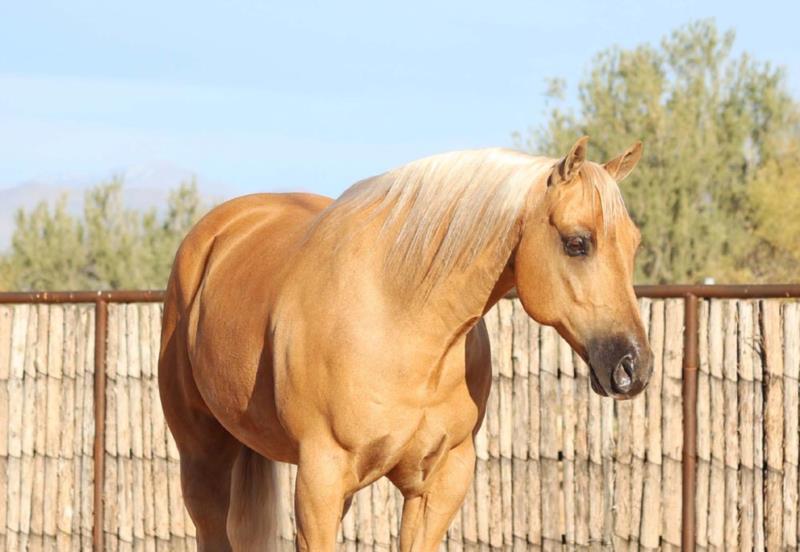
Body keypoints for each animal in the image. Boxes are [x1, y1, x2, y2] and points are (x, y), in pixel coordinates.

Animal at [158, 136, 653, 551]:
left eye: (633, 244)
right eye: (577, 243)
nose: (634, 368)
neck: (403, 319)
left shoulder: (441, 478)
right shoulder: (320, 477)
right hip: (202, 457)